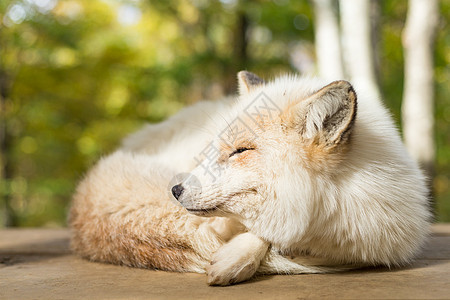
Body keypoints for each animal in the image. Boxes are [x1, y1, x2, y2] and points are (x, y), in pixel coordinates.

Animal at [68, 71, 430, 284]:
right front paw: (234, 258)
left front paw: (237, 257)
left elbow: (265, 230)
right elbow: (259, 229)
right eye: (215, 149)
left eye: (241, 151)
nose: (175, 189)